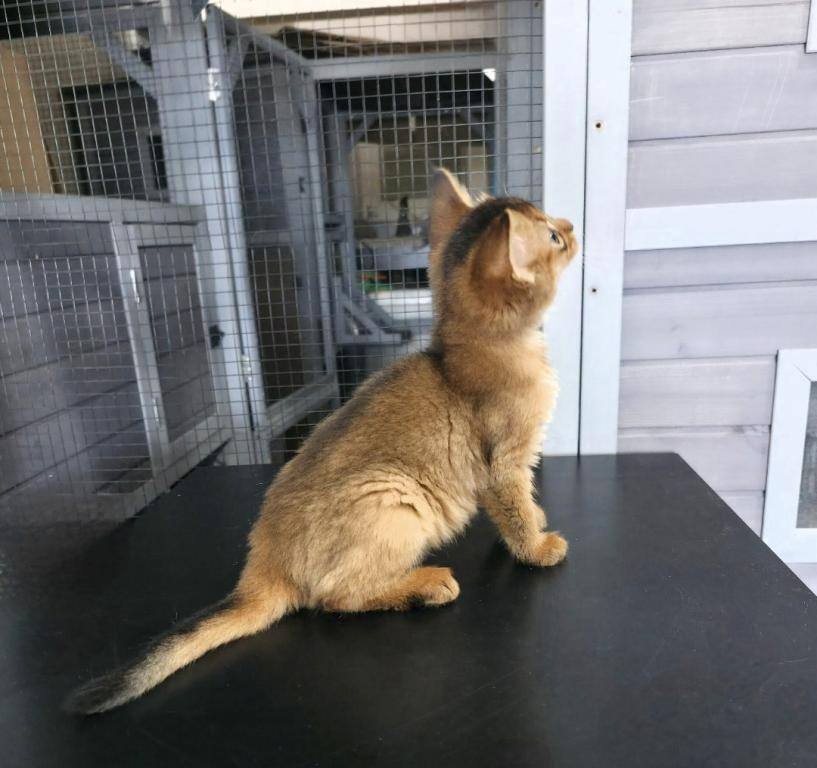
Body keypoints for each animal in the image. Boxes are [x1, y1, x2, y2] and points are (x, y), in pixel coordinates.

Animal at [65, 168, 578, 715]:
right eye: (552, 237)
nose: (570, 225)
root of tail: (264, 562)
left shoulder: (511, 465)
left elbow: (522, 505)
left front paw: (537, 520)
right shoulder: (502, 464)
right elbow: (514, 510)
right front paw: (538, 546)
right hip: (394, 498)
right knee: (334, 598)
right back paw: (425, 585)